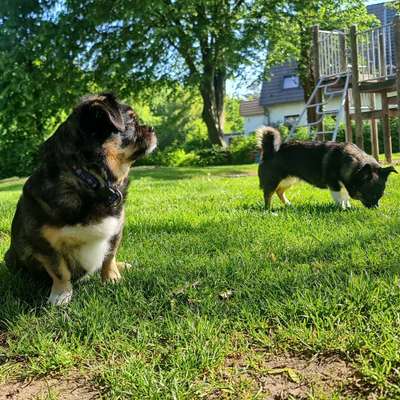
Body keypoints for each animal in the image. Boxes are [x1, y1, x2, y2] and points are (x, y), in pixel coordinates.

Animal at [5, 94, 158, 304]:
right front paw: (61, 295)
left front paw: (112, 278)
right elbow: (60, 270)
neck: (91, 179)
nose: (152, 128)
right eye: (132, 121)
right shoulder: (44, 243)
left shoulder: (116, 230)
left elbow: (109, 257)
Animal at [258, 127, 396, 209]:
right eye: (371, 195)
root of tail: (269, 151)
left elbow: (345, 196)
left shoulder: (344, 185)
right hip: (273, 180)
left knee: (279, 191)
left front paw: (348, 206)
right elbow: (340, 198)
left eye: (380, 196)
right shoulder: (334, 185)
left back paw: (288, 204)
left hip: (289, 180)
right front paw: (343, 209)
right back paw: (269, 210)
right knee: (268, 194)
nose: (376, 208)